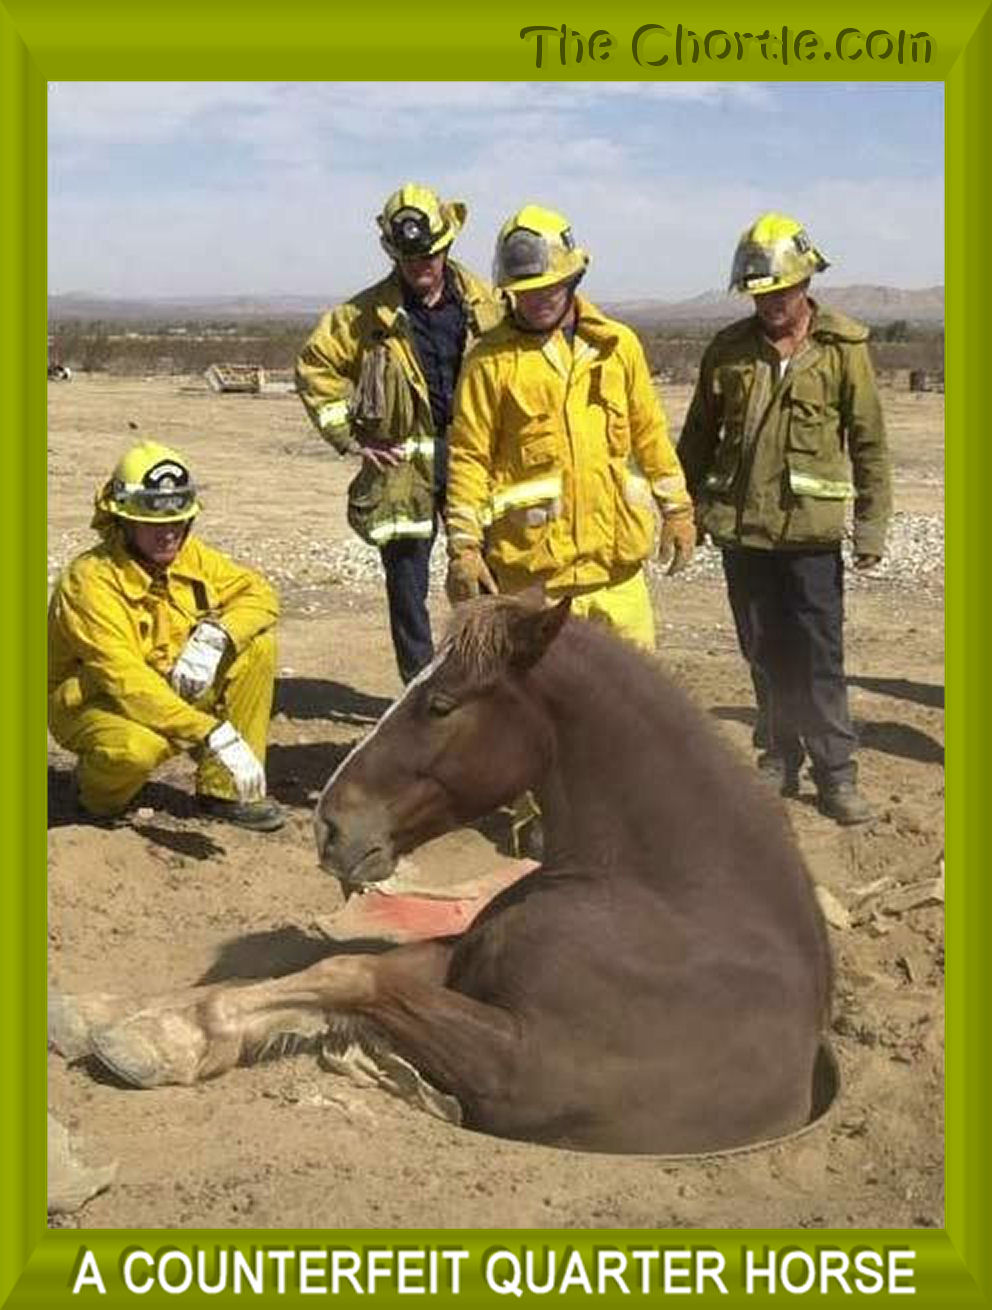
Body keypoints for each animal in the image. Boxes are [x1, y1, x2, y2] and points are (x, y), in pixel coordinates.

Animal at [58, 594, 834, 1155]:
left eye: (440, 705)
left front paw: (162, 1035)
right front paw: (143, 1023)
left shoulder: (523, 1065)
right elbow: (331, 971)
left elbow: (353, 977)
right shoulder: (460, 963)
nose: (329, 826)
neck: (674, 899)